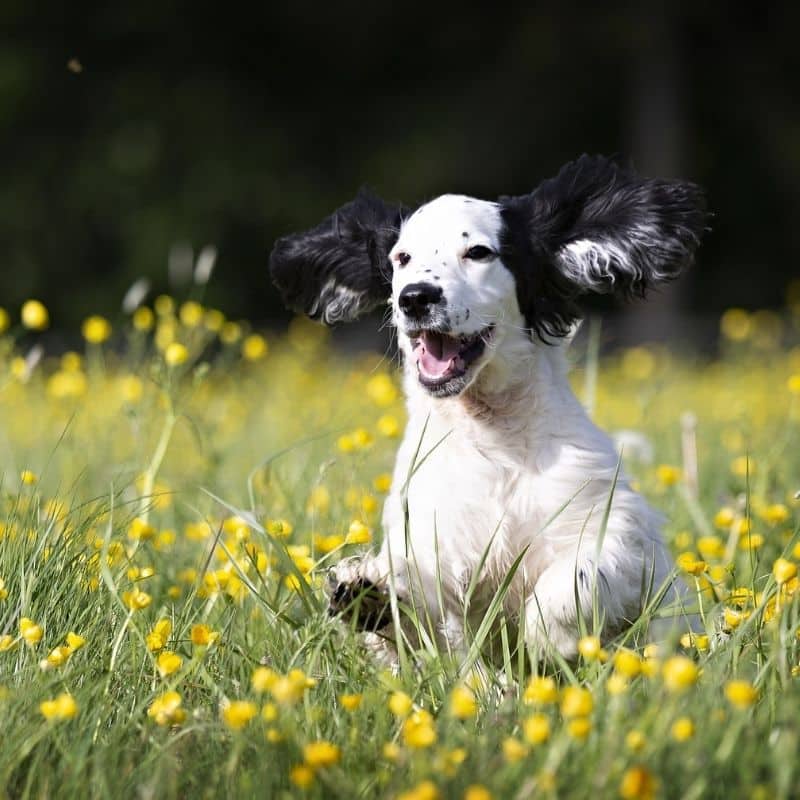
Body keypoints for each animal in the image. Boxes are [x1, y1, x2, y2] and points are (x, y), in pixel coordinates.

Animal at [270, 153, 708, 660]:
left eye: (478, 252)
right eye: (401, 258)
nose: (415, 296)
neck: (491, 436)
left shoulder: (617, 530)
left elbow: (578, 575)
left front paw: (549, 636)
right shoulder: (431, 542)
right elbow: (420, 609)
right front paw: (368, 594)